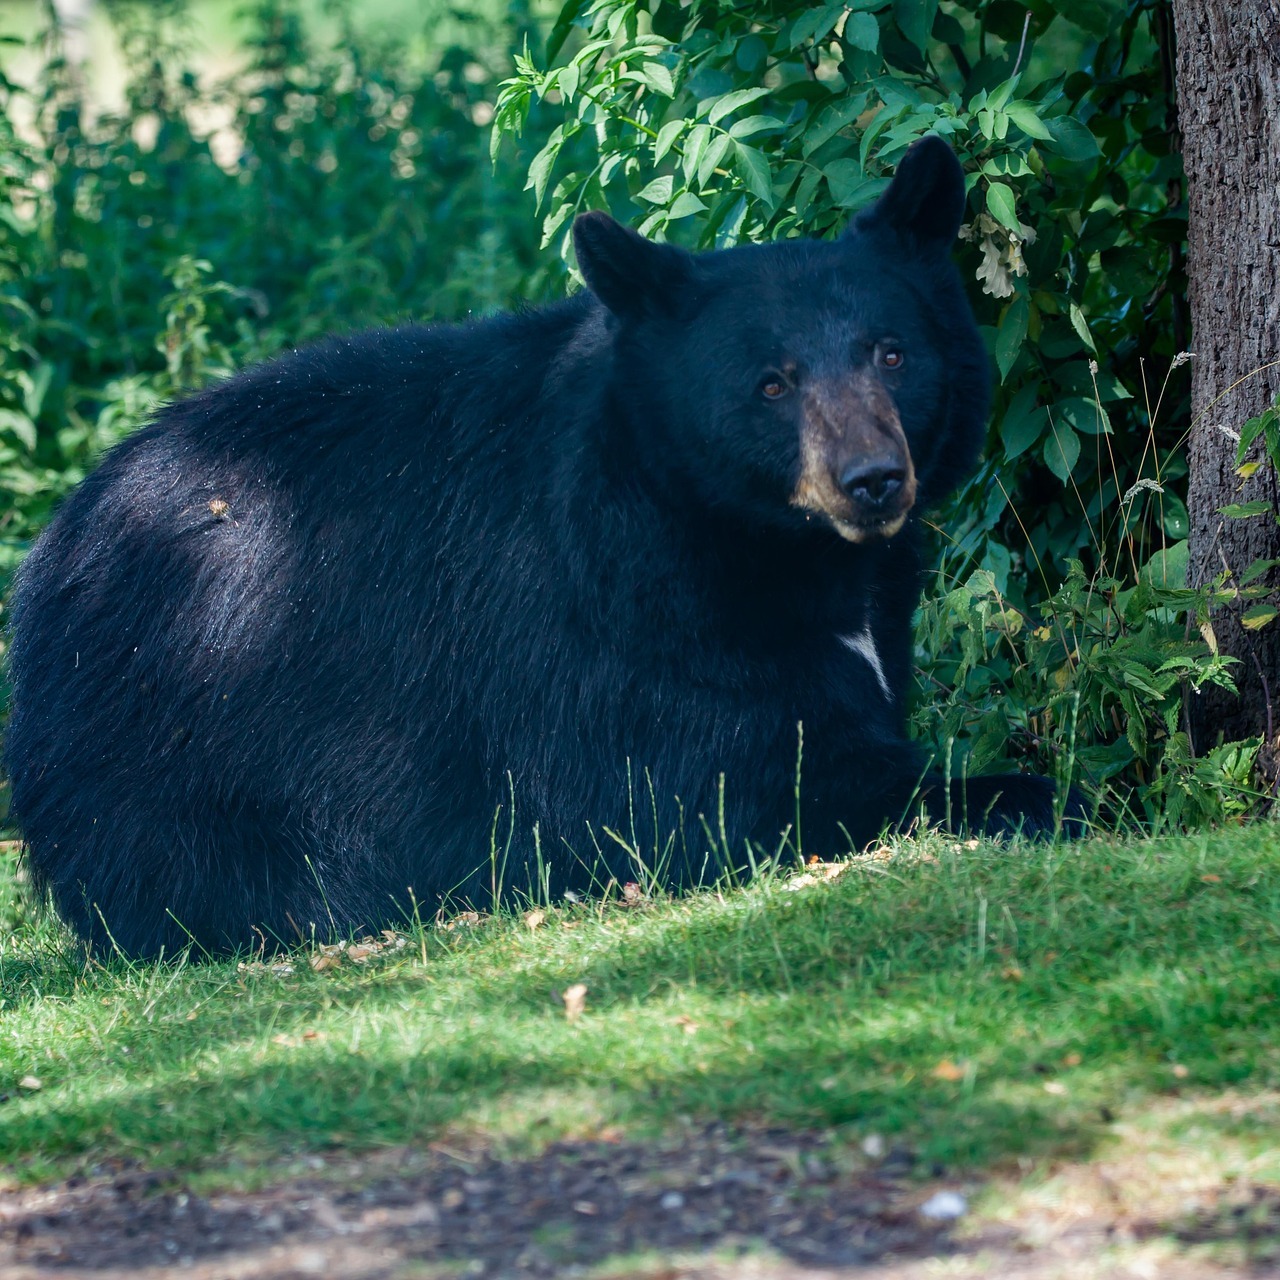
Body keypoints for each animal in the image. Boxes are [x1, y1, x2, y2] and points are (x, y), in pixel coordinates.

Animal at [4, 136, 1085, 958]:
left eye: (891, 353)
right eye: (771, 382)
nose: (873, 480)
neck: (774, 547)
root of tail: (52, 551)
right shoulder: (618, 618)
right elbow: (734, 783)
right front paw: (1039, 792)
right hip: (186, 730)